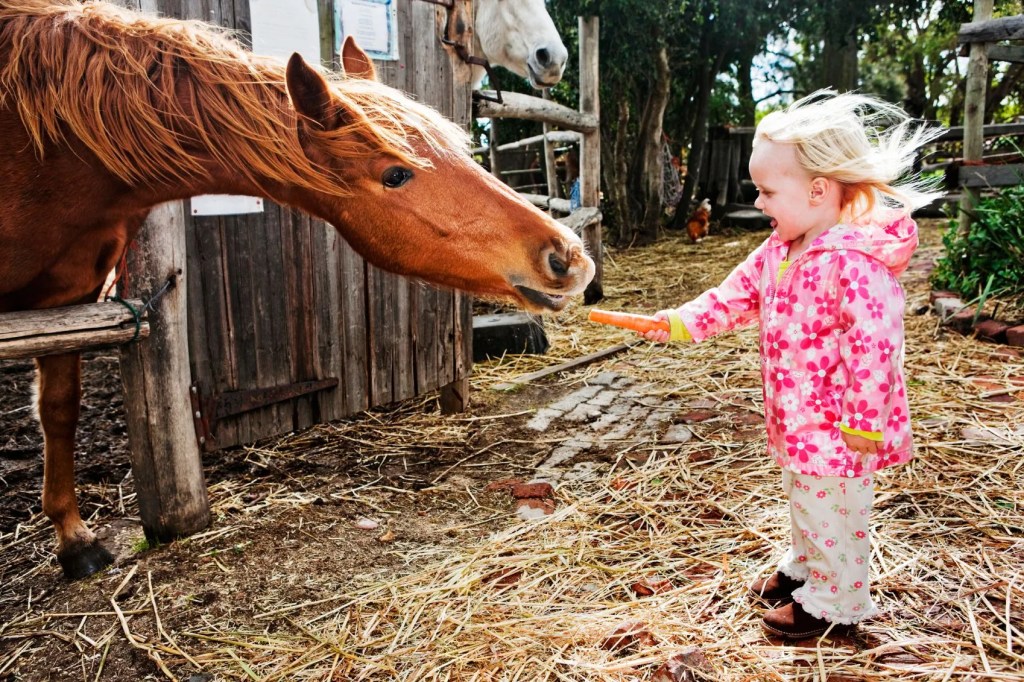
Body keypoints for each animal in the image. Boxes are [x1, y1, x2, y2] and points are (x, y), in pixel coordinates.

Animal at [0, 0, 598, 577]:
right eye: (396, 174)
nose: (569, 257)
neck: (50, 147)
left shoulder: (71, 289)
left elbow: (59, 409)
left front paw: (75, 541)